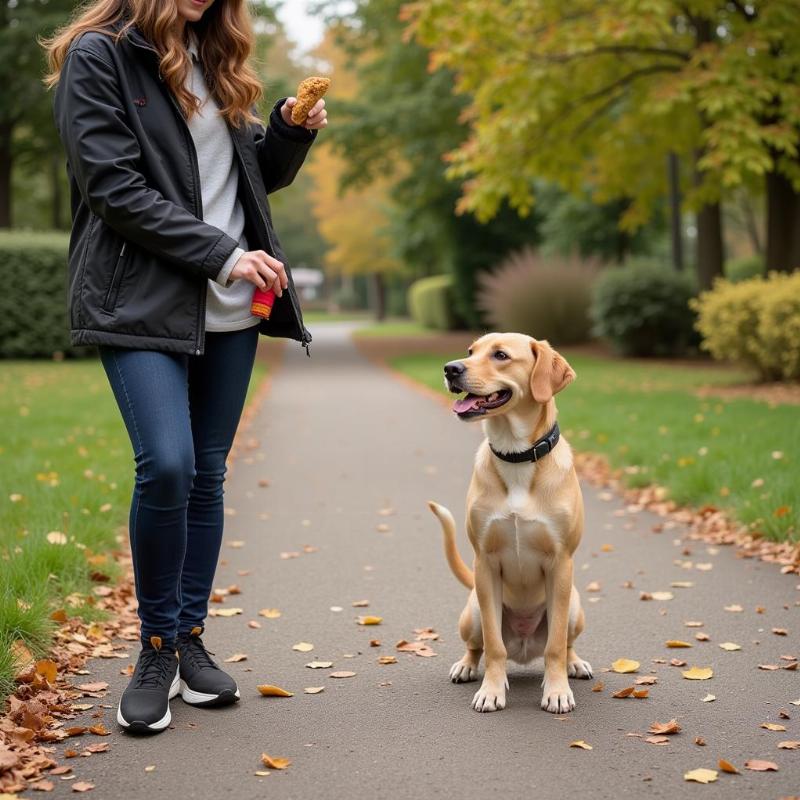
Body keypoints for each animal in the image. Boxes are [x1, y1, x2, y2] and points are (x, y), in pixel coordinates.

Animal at [428, 332, 592, 712]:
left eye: (500, 355)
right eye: (471, 351)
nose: (450, 368)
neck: (516, 455)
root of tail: (525, 648)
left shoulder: (561, 564)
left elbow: (555, 646)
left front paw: (557, 690)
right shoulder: (485, 565)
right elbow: (494, 646)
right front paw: (491, 689)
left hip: (574, 605)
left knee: (565, 644)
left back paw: (574, 663)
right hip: (473, 609)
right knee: (477, 645)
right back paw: (467, 666)